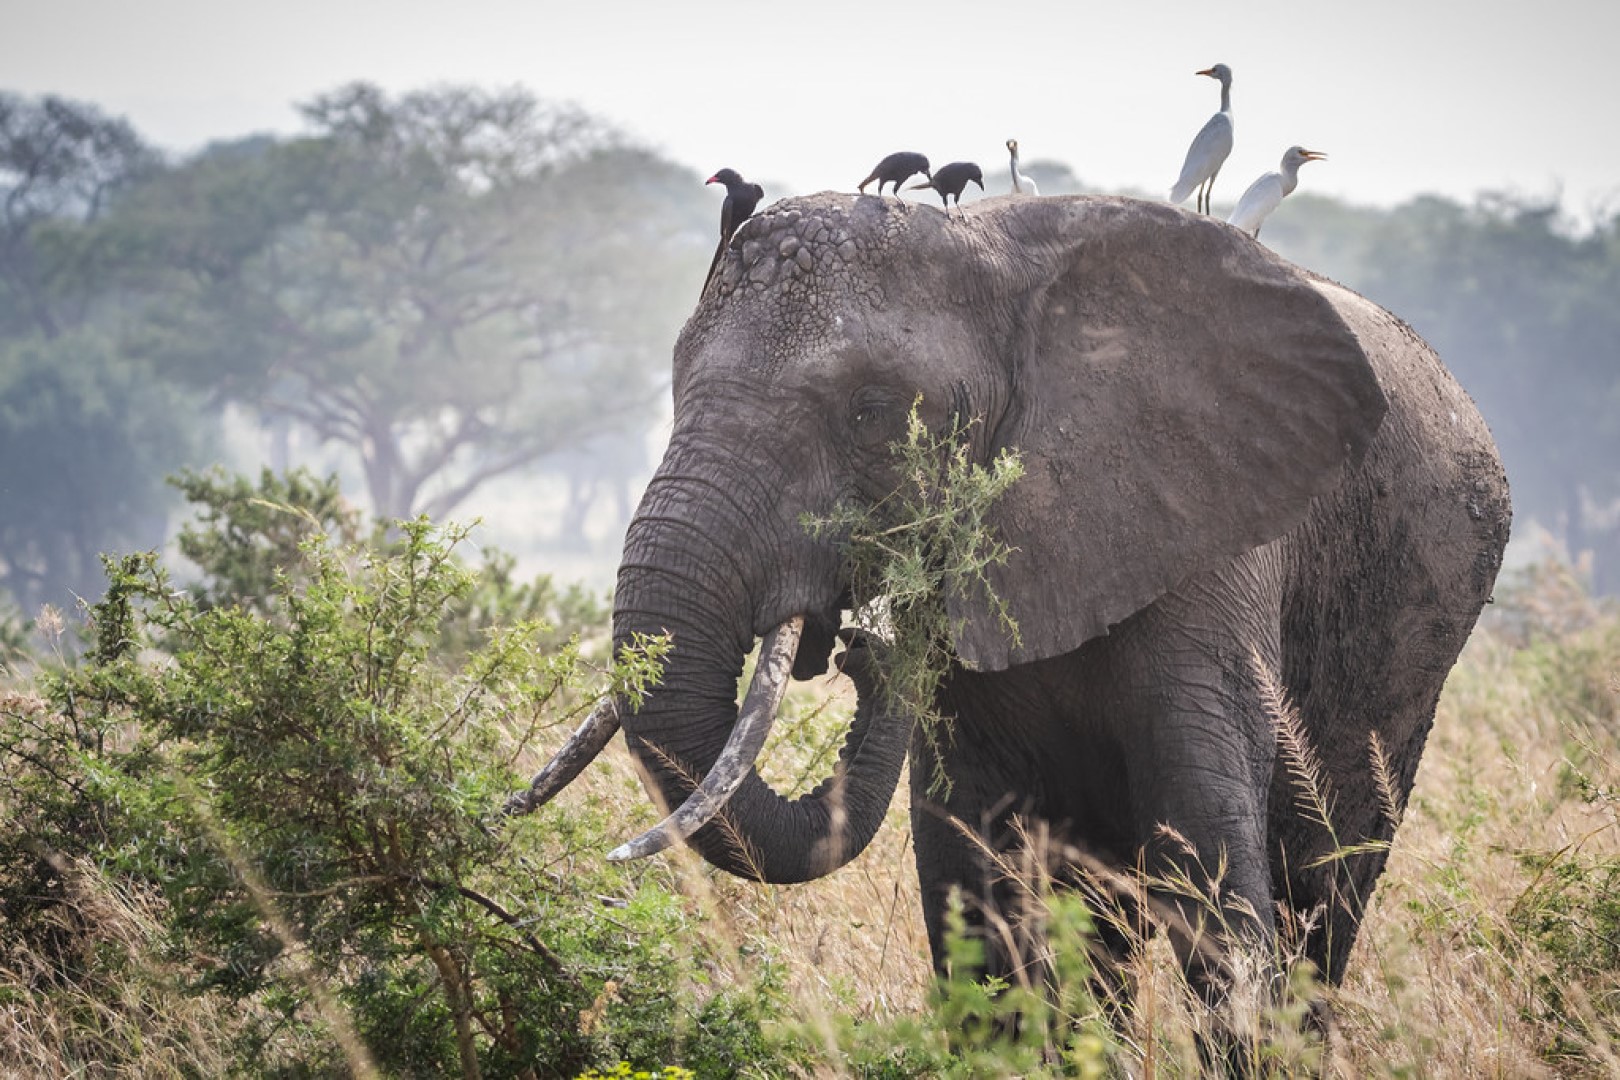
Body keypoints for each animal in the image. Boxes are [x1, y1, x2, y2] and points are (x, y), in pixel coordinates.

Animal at [521, 191, 1516, 1003]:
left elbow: (1208, 862)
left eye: (872, 412)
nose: (859, 647)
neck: (989, 251)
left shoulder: (1216, 539)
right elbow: (970, 878)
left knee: (1325, 886)